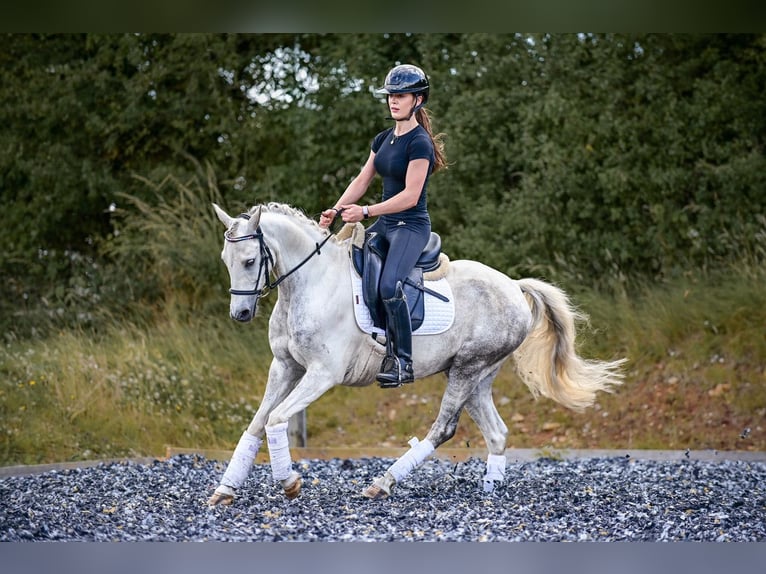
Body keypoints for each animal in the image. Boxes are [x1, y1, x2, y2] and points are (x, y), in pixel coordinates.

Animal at [207, 204, 628, 508]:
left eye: (249, 261)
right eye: (226, 260)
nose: (240, 314)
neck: (309, 284)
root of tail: (512, 285)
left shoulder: (321, 373)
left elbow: (276, 419)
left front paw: (289, 482)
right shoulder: (285, 367)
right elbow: (256, 423)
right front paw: (226, 489)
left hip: (468, 368)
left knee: (442, 428)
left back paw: (382, 484)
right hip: (477, 374)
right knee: (496, 432)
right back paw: (490, 490)